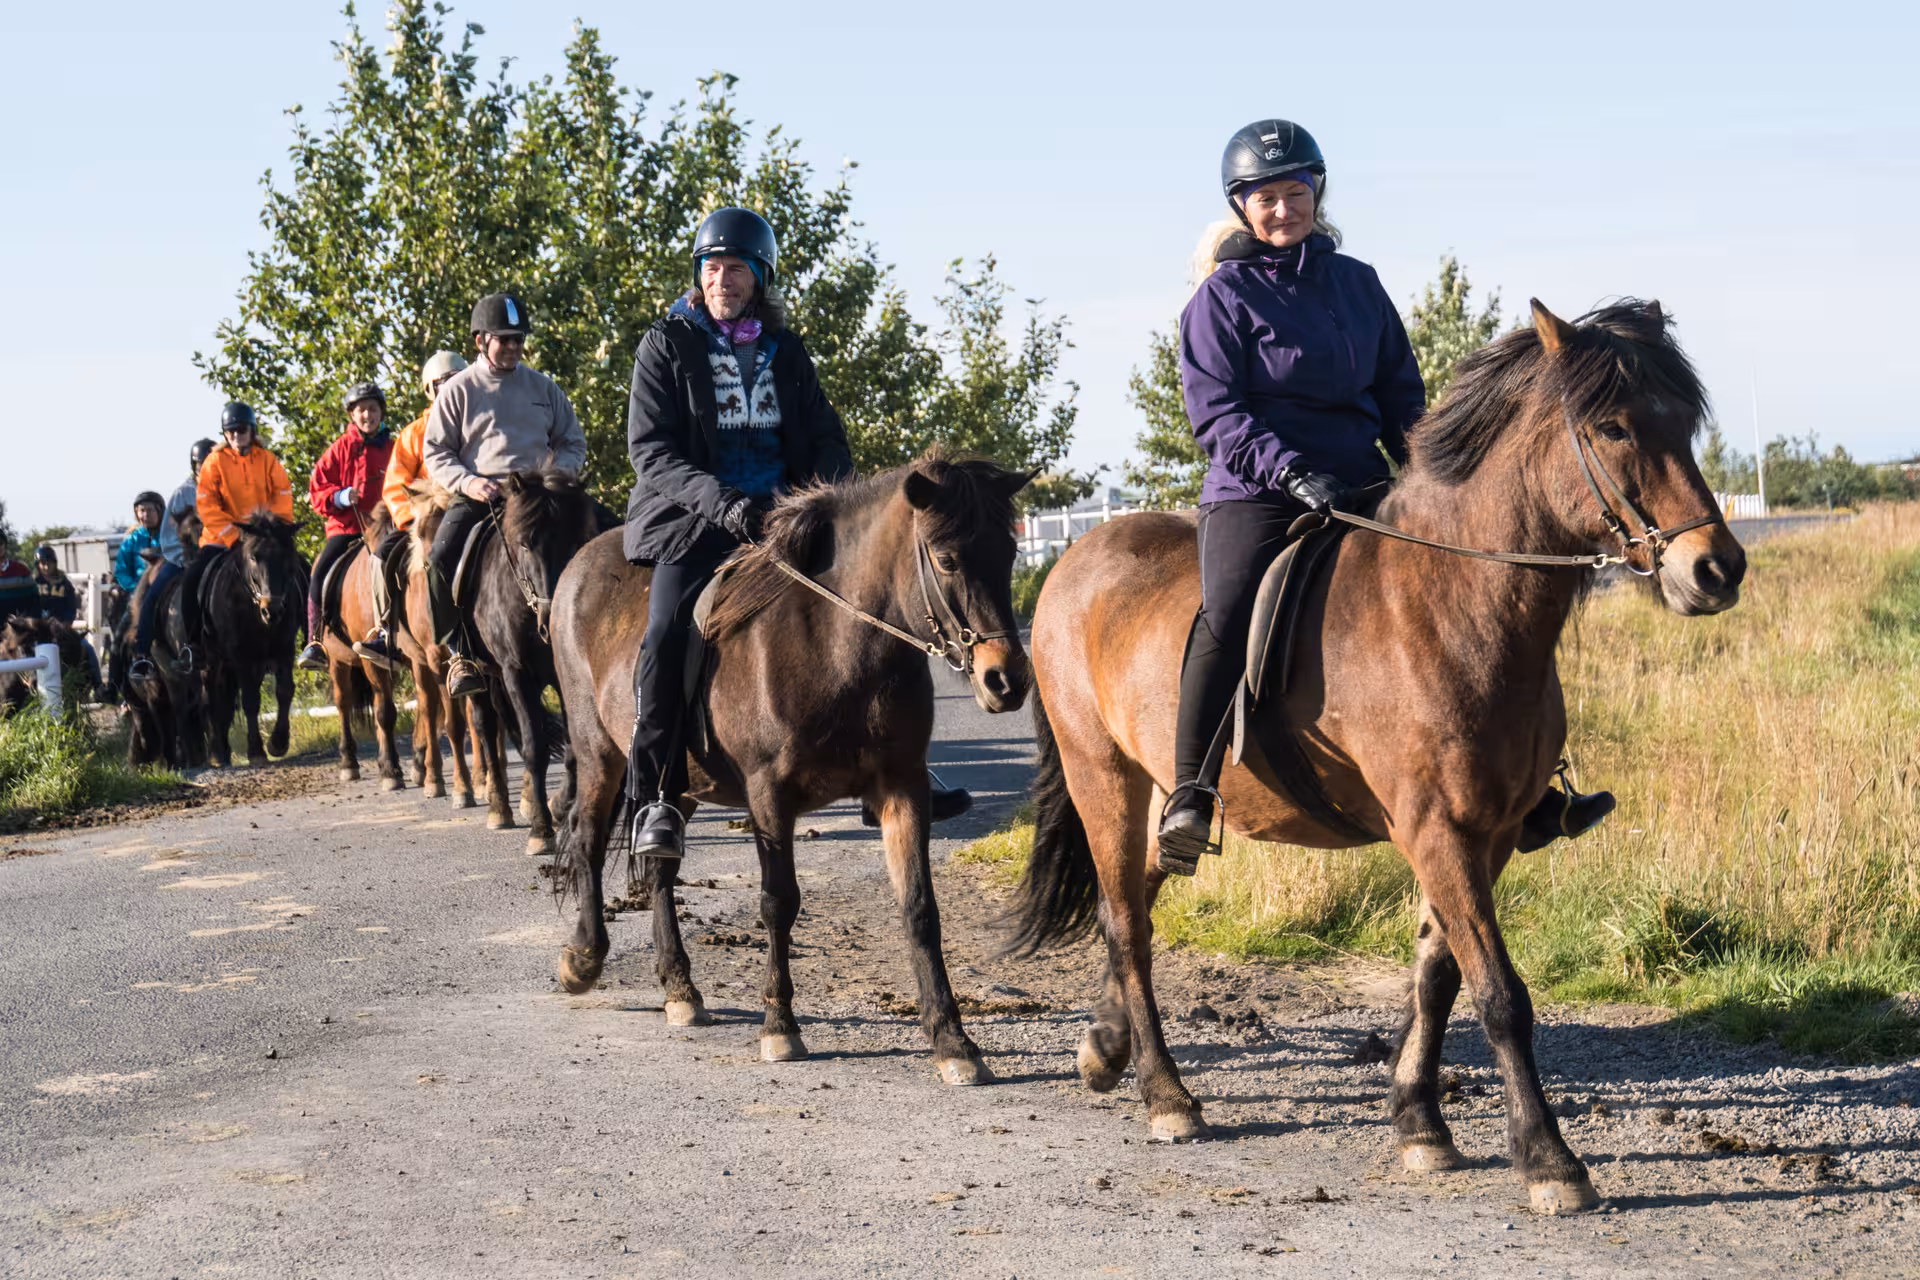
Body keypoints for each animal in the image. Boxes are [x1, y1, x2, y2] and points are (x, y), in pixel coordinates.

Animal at [201, 515, 304, 768]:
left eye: (287, 556)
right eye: (254, 557)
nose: (272, 610)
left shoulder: (284, 649)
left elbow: (284, 691)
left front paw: (278, 742)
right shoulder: (241, 656)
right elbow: (249, 701)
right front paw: (256, 751)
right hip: (212, 661)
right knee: (211, 698)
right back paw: (216, 753)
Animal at [548, 453, 1031, 1079]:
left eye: (1010, 552)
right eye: (946, 558)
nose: (1007, 680)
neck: (836, 645)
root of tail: (579, 564)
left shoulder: (903, 789)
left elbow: (919, 908)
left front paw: (953, 1041)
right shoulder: (769, 795)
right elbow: (778, 903)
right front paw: (780, 1026)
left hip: (678, 785)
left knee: (658, 867)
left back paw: (680, 989)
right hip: (599, 754)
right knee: (586, 840)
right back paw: (583, 959)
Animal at [1007, 300, 1746, 1214]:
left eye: (1684, 421)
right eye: (1612, 427)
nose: (1715, 569)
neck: (1449, 606)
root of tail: (1070, 562)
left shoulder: (1486, 835)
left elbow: (1438, 977)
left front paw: (1420, 1127)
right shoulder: (1437, 829)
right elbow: (1500, 994)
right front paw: (1549, 1161)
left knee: (1135, 895)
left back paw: (1103, 1048)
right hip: (1102, 776)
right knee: (1126, 923)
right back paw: (1167, 1096)